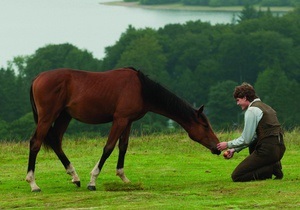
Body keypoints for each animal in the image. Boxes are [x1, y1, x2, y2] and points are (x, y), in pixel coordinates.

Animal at [25, 67, 219, 192]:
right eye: (205, 126)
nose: (217, 147)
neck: (141, 89)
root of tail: (37, 78)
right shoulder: (120, 120)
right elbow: (108, 148)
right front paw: (93, 181)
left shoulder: (128, 121)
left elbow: (123, 147)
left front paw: (123, 177)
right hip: (48, 116)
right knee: (35, 143)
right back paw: (33, 183)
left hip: (64, 116)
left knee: (56, 142)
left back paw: (75, 176)